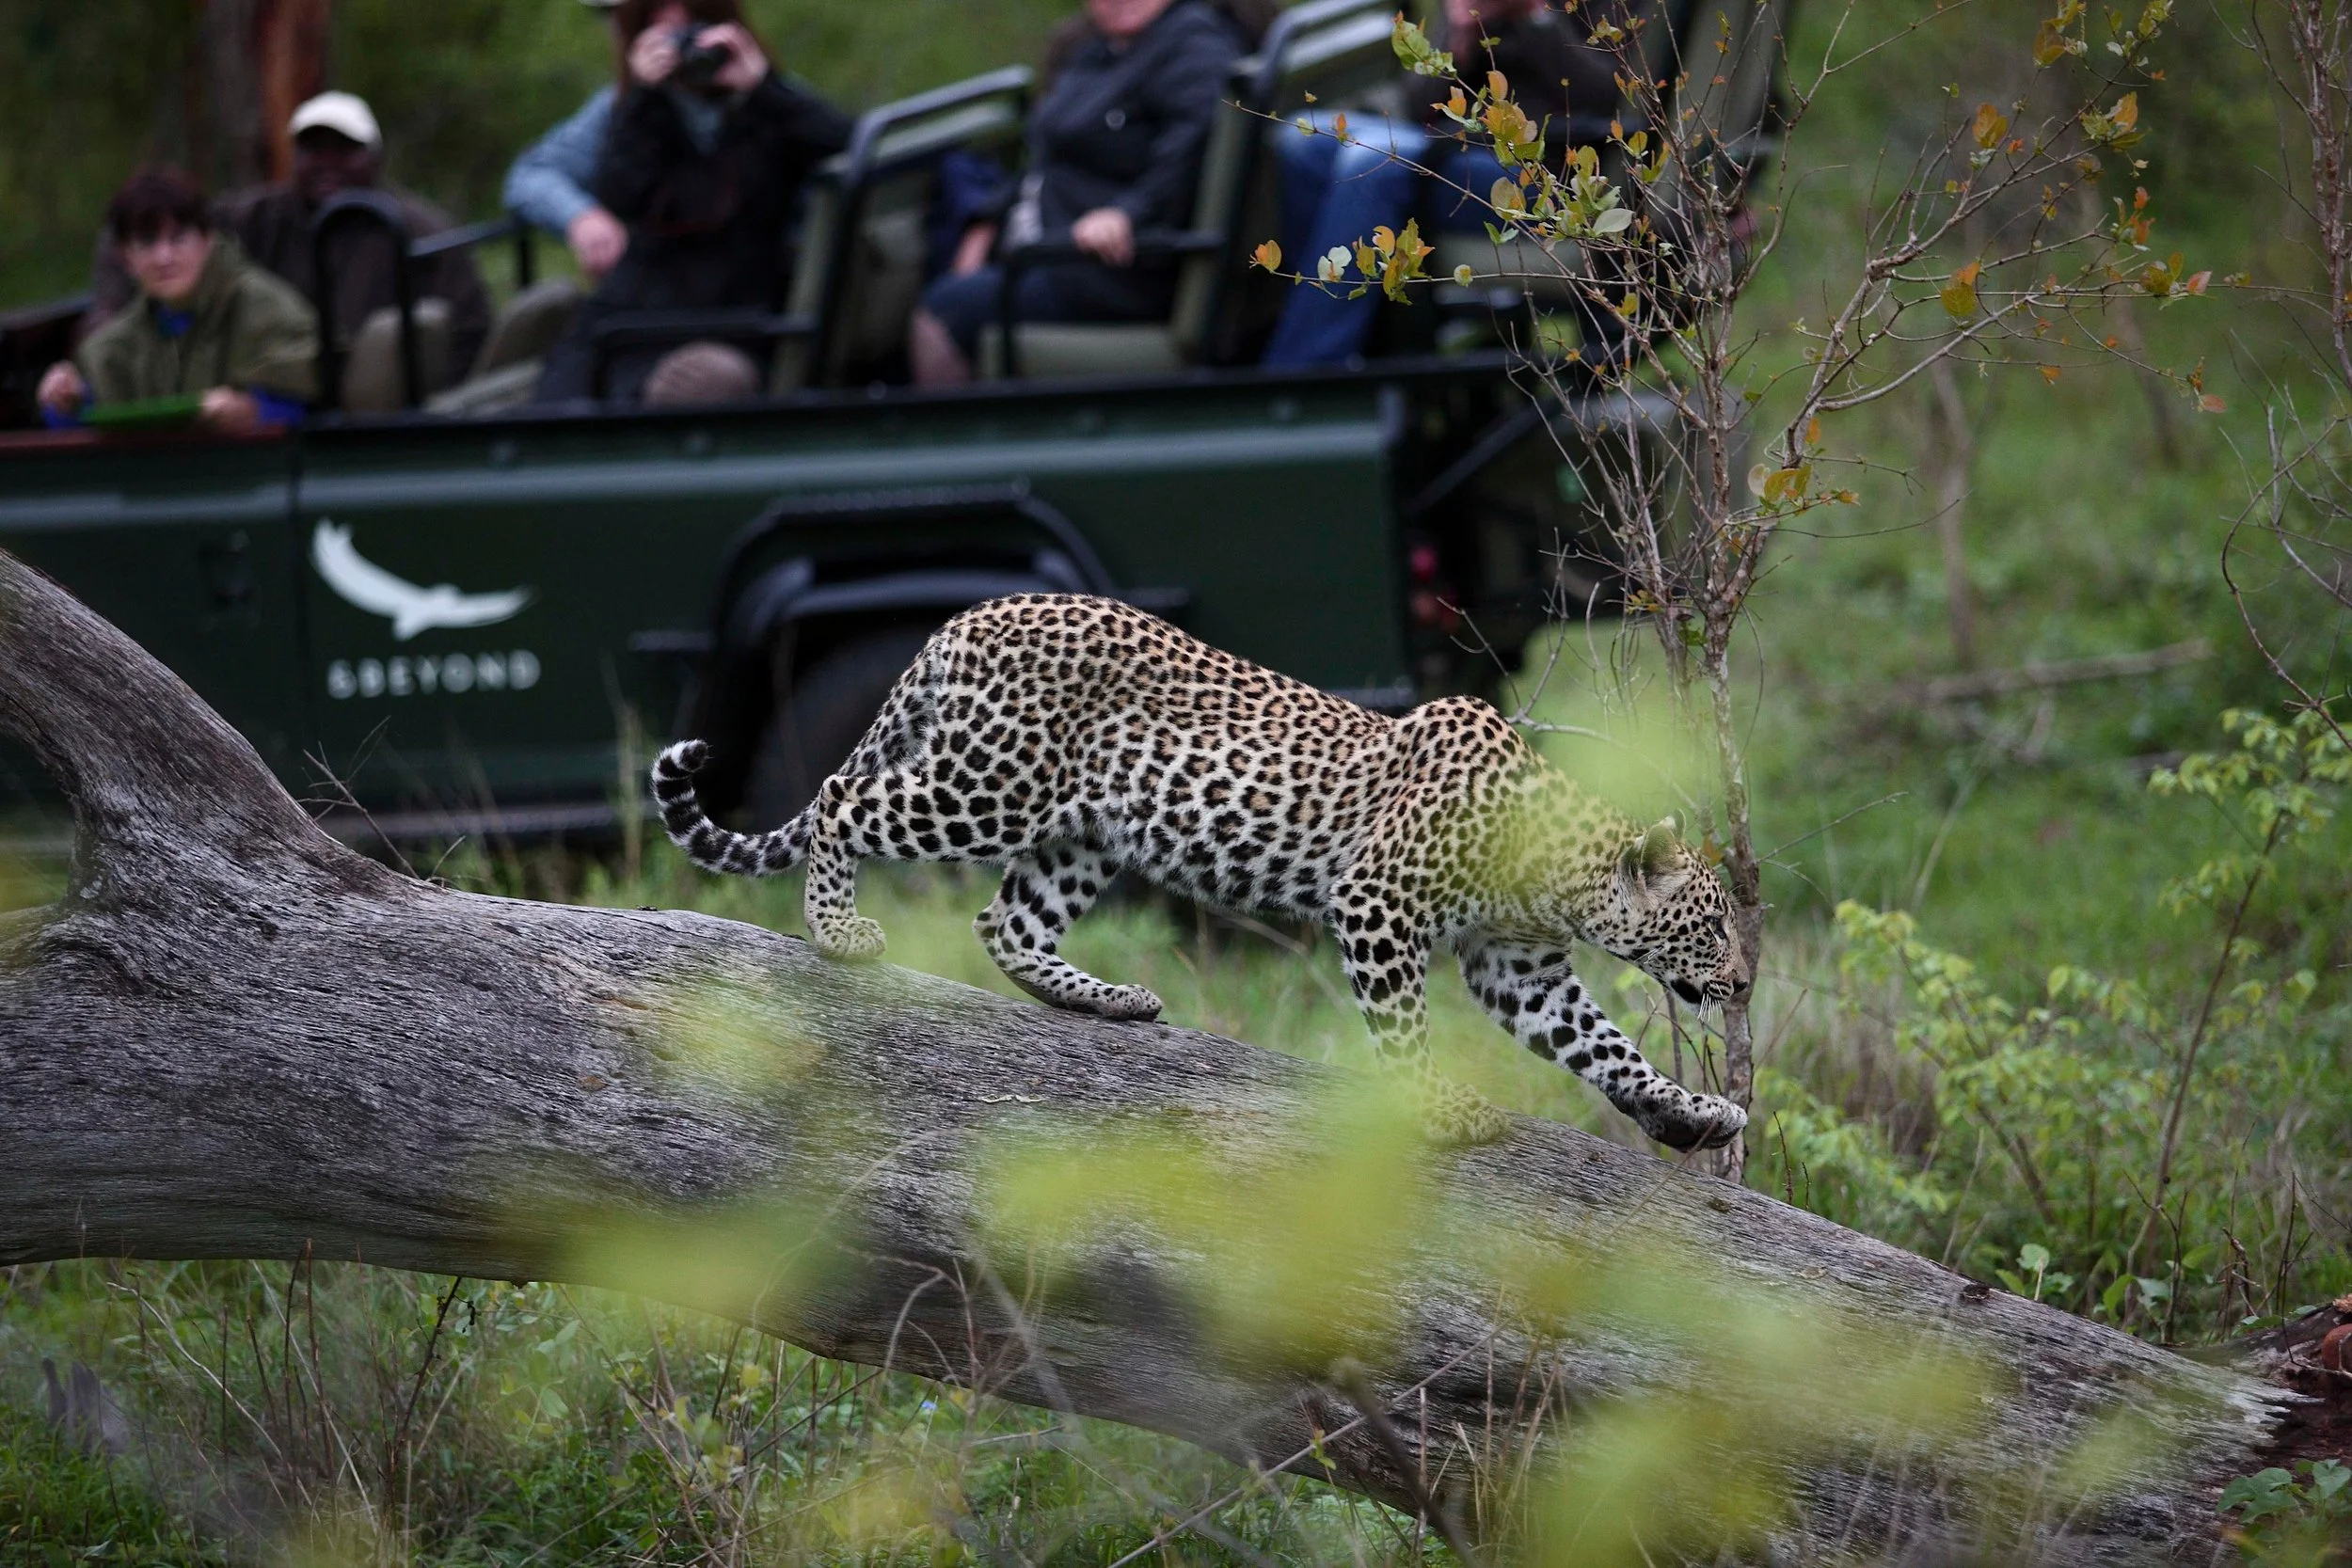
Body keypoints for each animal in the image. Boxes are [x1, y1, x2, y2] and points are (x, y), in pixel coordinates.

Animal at [652, 593, 1749, 1151]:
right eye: (1714, 925)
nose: (1742, 983)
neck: (1556, 872)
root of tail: (968, 614)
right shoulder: (1378, 903)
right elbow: (1403, 1027)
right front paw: (1438, 1105)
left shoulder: (1517, 965)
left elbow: (1607, 1045)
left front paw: (1692, 1112)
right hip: (987, 784)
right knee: (846, 800)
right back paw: (838, 931)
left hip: (1081, 832)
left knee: (1004, 923)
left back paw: (1109, 999)